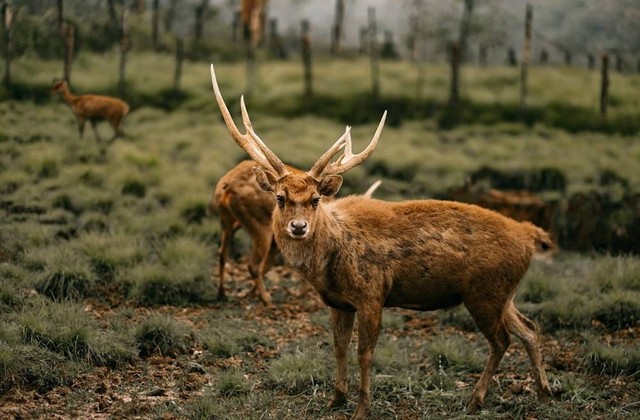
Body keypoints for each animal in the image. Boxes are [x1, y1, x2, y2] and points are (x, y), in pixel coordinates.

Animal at [210, 158, 380, 306]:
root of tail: (225, 187)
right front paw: (301, 293)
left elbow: (269, 264)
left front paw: (250, 292)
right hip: (259, 224)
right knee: (252, 264)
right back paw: (266, 299)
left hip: (227, 220)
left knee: (222, 253)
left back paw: (222, 294)